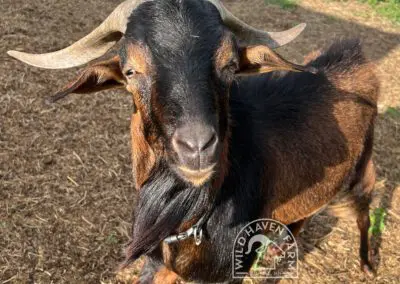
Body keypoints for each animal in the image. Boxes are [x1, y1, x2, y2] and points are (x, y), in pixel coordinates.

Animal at [7, 0, 380, 284]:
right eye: (130, 71)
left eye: (230, 65)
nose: (197, 148)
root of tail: (355, 53)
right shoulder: (159, 265)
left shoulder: (226, 273)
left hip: (362, 168)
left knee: (364, 208)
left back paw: (366, 264)